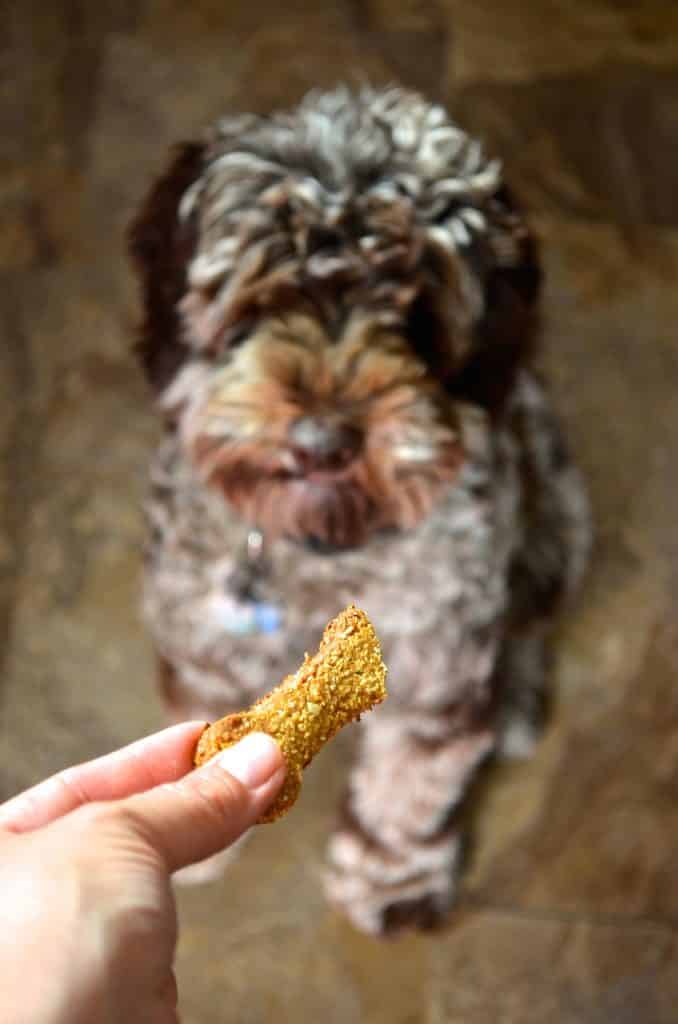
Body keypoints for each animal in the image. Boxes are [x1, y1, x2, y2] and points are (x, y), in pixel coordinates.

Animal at [130, 88, 594, 937]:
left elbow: (409, 790)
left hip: (558, 518)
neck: (325, 543)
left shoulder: (434, 676)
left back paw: (513, 702)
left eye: (415, 316)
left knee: (529, 627)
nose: (323, 440)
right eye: (259, 300)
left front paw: (392, 882)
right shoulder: (201, 649)